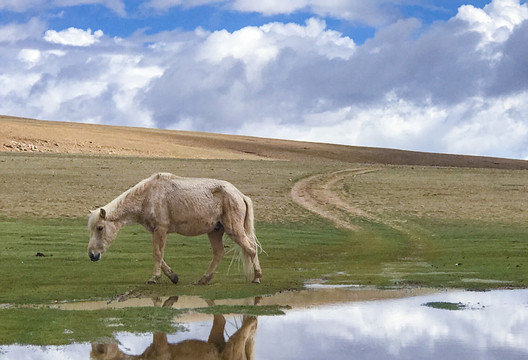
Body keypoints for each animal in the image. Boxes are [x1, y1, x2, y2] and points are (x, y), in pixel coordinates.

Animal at [87, 173, 262, 286]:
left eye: (100, 228)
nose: (92, 255)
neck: (147, 196)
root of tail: (240, 195)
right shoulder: (155, 231)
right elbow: (159, 255)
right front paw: (173, 277)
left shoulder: (161, 229)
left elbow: (158, 253)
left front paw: (154, 278)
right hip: (215, 231)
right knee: (219, 253)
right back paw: (203, 279)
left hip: (233, 229)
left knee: (251, 248)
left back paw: (257, 277)